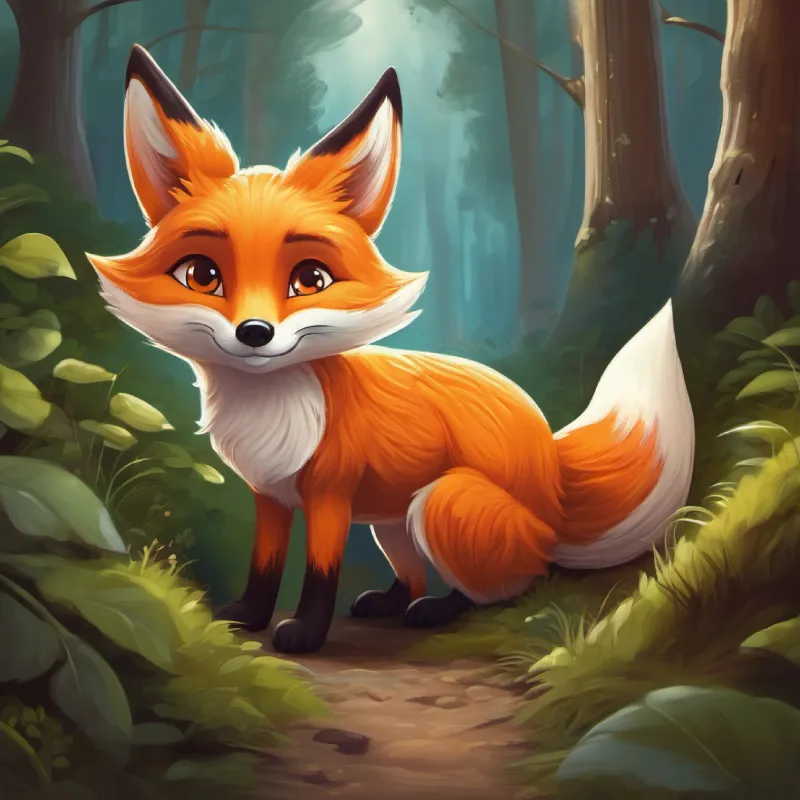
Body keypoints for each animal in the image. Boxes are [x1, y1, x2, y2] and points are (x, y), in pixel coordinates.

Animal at [89, 45, 695, 654]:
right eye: (202, 275)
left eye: (310, 279)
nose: (254, 332)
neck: (272, 413)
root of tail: (552, 473)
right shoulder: (270, 497)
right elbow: (264, 566)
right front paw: (246, 617)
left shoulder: (330, 495)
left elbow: (320, 574)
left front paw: (304, 634)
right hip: (391, 522)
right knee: (415, 574)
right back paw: (389, 601)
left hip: (442, 503)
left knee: (515, 583)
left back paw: (441, 610)